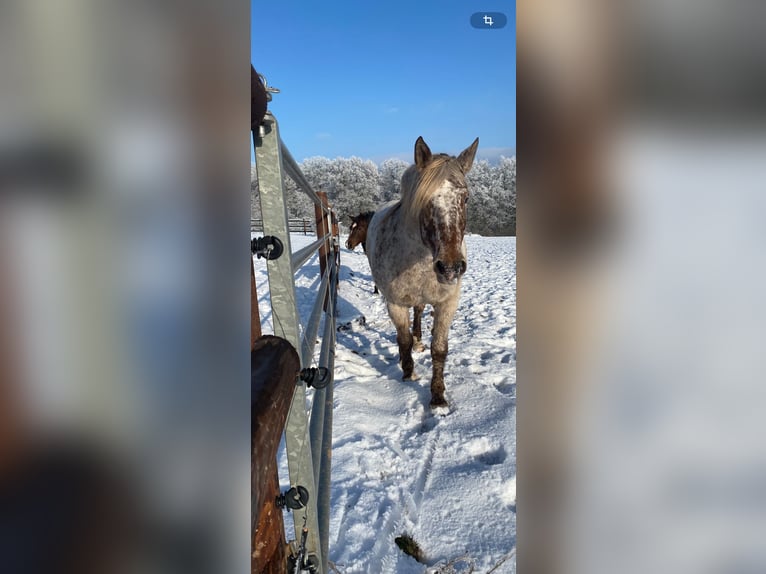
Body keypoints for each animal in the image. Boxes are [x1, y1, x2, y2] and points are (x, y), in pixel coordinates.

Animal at [367, 136, 478, 408]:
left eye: (466, 198)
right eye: (425, 199)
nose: (450, 268)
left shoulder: (447, 303)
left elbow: (439, 348)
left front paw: (438, 397)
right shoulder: (395, 303)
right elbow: (403, 339)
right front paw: (408, 373)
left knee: (418, 314)